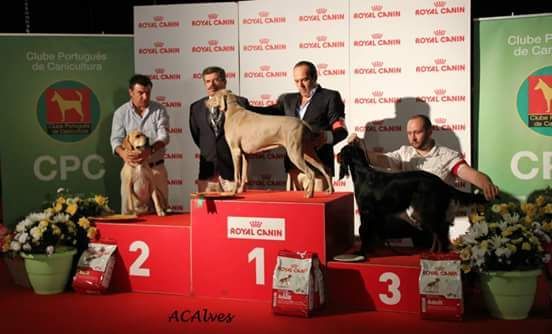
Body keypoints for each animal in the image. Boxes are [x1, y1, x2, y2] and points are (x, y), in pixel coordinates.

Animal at [336, 138, 488, 253]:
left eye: (341, 151)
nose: (335, 155)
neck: (363, 174)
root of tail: (440, 183)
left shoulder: (366, 211)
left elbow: (364, 231)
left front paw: (361, 252)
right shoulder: (375, 215)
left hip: (427, 210)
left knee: (440, 231)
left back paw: (440, 253)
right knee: (439, 232)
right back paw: (433, 251)